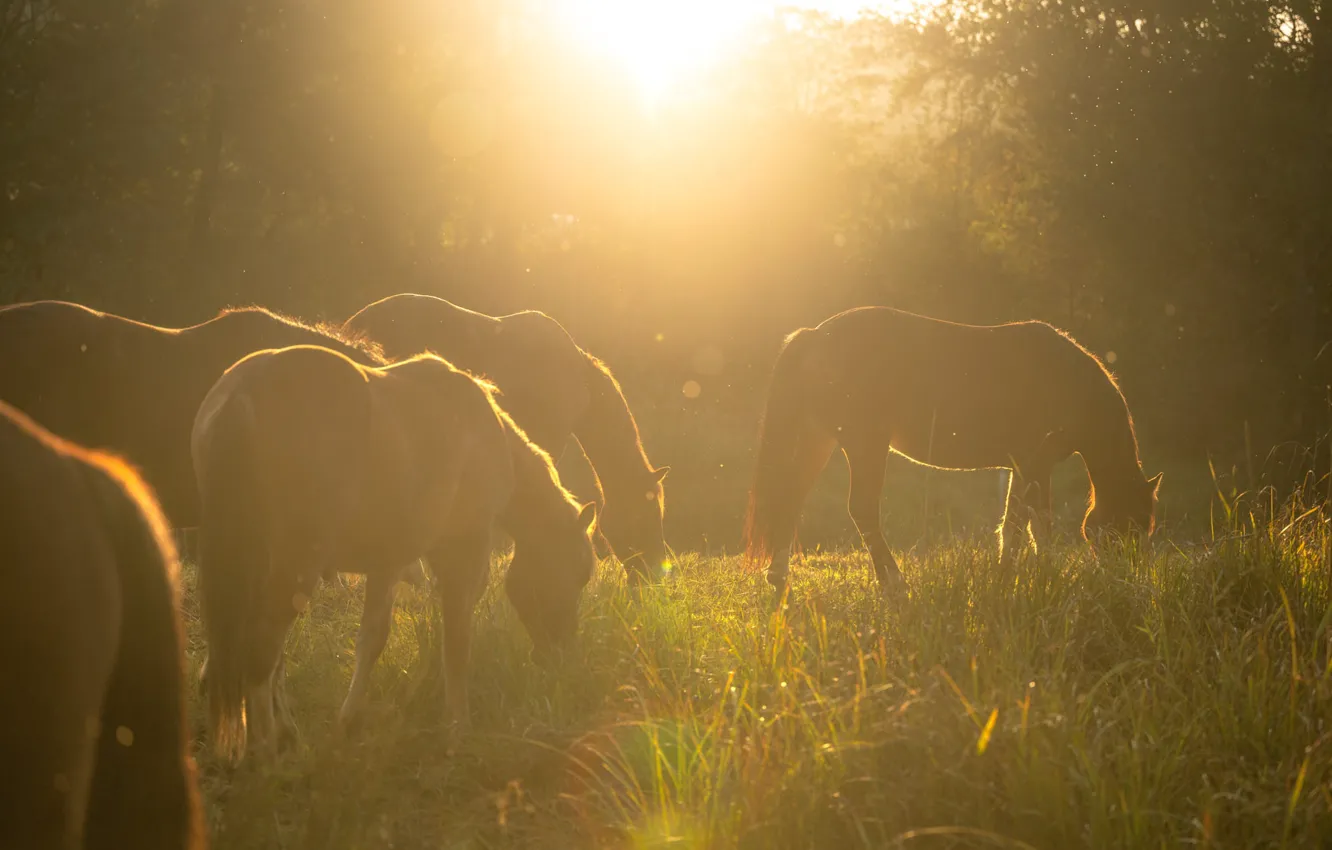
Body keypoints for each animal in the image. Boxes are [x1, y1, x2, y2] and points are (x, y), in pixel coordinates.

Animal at [192, 345, 597, 761]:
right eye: (579, 574)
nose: (560, 655)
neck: (484, 434)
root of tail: (243, 392)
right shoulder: (463, 551)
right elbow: (457, 642)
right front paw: (457, 727)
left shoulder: (387, 561)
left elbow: (372, 639)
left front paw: (348, 721)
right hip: (292, 568)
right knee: (261, 654)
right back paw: (268, 748)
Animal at [744, 306, 1162, 594]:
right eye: (1131, 525)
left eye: (1146, 527)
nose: (1127, 581)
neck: (1067, 381)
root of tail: (815, 335)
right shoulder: (1034, 464)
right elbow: (1034, 524)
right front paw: (1041, 576)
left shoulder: (1023, 467)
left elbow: (1018, 524)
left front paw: (1015, 576)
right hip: (865, 446)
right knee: (861, 509)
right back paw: (894, 584)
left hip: (818, 441)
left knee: (790, 498)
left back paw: (779, 576)